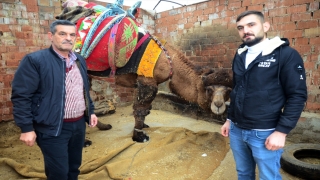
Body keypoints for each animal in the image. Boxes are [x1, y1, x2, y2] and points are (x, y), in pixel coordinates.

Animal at [58, 0, 232, 143]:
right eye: (209, 89)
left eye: (228, 91)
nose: (218, 105)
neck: (169, 60)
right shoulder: (147, 80)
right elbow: (141, 108)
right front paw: (139, 136)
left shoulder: (141, 80)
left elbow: (144, 108)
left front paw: (144, 127)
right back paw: (84, 141)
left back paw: (103, 126)